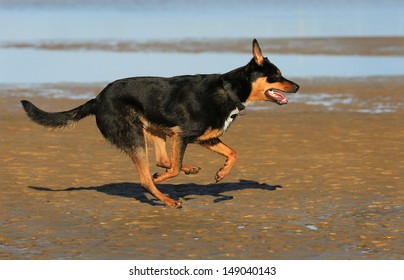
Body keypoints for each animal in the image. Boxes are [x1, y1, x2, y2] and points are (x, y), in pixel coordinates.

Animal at [22, 38, 300, 208]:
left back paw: (186, 169)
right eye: (277, 75)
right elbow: (172, 170)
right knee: (147, 177)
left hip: (155, 128)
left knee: (162, 159)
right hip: (135, 135)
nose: (297, 86)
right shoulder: (184, 134)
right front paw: (169, 179)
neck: (229, 90)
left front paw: (221, 173)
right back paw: (167, 198)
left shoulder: (205, 137)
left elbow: (233, 153)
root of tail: (97, 99)